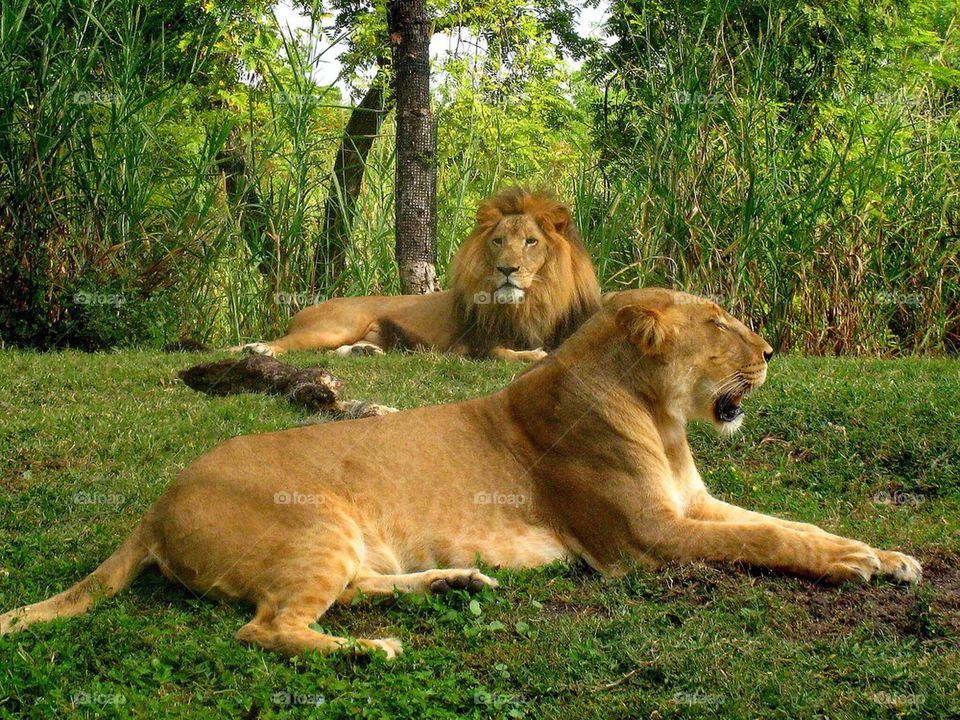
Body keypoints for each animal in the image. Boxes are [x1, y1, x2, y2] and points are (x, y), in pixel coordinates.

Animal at [0, 288, 921, 658]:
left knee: (344, 591)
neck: (664, 422)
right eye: (720, 324)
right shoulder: (646, 542)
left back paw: (455, 583)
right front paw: (854, 563)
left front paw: (883, 554)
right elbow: (769, 540)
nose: (771, 350)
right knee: (266, 628)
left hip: (342, 543)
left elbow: (787, 524)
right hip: (316, 523)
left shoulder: (695, 504)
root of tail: (157, 503)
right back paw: (374, 650)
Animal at [241, 187, 601, 362]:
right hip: (335, 327)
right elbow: (501, 353)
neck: (535, 299)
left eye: (531, 241)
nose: (506, 269)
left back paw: (363, 352)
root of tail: (304, 309)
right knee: (285, 343)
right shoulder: (467, 346)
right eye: (498, 241)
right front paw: (533, 354)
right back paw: (258, 349)